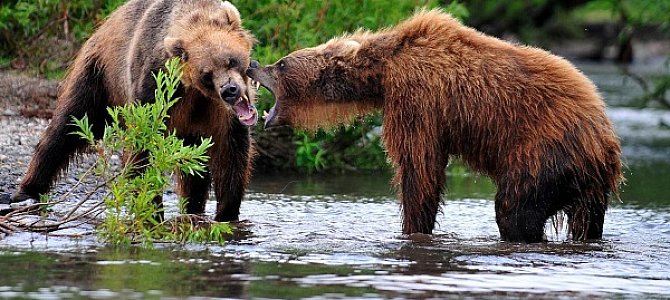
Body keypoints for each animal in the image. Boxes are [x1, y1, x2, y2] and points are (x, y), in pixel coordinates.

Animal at [13, 0, 260, 223]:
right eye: (207, 74)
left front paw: (227, 214)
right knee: (68, 126)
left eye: (231, 60)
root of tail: (107, 21)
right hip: (100, 76)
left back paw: (193, 208)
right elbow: (142, 147)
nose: (229, 90)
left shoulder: (219, 113)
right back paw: (27, 191)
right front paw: (152, 212)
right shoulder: (156, 87)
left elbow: (231, 152)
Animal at [249, 9, 628, 244]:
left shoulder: (417, 98)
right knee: (587, 222)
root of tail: (605, 138)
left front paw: (413, 229)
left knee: (516, 210)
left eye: (280, 64)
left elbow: (419, 168)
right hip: (590, 188)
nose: (253, 63)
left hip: (544, 153)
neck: (382, 71)